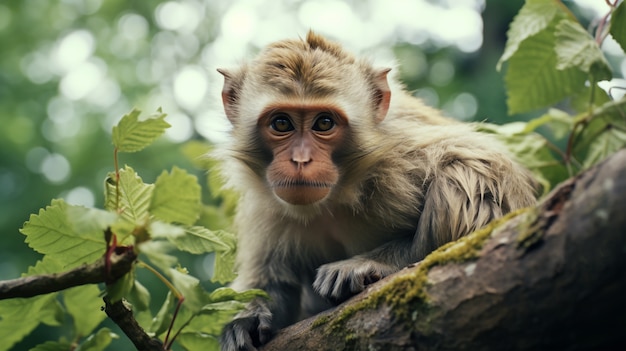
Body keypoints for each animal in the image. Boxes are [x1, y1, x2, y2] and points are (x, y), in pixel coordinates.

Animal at [214, 31, 532, 351]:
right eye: (281, 123)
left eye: (324, 123)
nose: (301, 161)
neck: (334, 199)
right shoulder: (264, 204)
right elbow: (274, 282)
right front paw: (248, 318)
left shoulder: (401, 156)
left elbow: (482, 176)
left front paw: (372, 263)